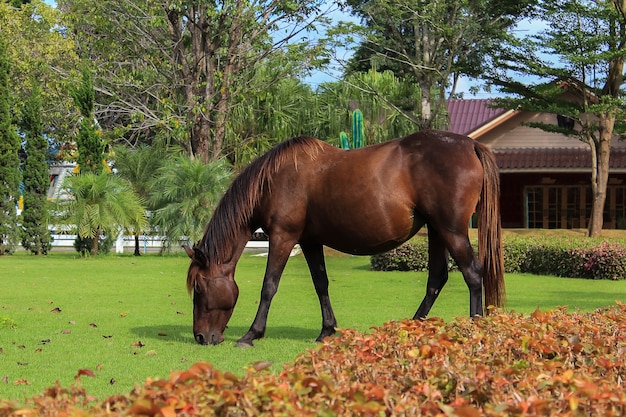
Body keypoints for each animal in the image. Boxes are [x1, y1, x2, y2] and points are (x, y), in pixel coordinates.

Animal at [183, 130, 504, 344]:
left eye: (199, 287)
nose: (200, 337)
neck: (274, 179)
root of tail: (470, 144)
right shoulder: (309, 241)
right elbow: (321, 283)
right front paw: (327, 330)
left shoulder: (283, 237)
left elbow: (269, 286)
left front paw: (251, 333)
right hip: (437, 231)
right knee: (437, 277)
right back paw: (411, 327)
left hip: (451, 231)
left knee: (472, 273)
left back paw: (474, 328)